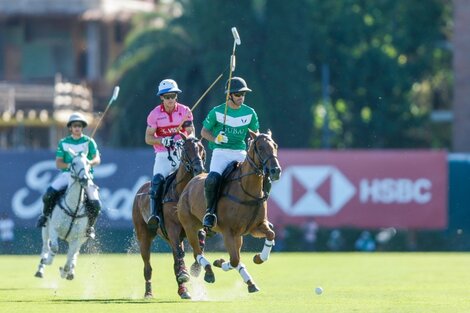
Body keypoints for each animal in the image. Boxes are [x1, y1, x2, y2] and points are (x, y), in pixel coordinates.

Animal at [35, 150, 92, 280]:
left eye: (88, 162)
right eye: (74, 163)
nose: (85, 179)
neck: (74, 208)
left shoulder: (77, 238)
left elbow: (70, 256)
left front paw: (65, 271)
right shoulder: (53, 229)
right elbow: (54, 248)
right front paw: (47, 261)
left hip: (83, 238)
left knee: (75, 253)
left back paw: (70, 272)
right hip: (45, 228)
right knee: (45, 247)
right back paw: (40, 269)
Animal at [132, 135, 206, 300]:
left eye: (202, 148)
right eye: (185, 149)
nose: (199, 169)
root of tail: (140, 190)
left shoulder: (195, 227)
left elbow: (200, 242)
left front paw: (196, 268)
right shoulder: (173, 229)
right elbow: (179, 253)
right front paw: (185, 273)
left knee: (175, 261)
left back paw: (183, 290)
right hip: (144, 235)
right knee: (148, 266)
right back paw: (148, 293)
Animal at [175, 129, 280, 292]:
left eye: (275, 145)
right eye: (260, 147)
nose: (276, 170)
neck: (247, 190)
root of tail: (191, 182)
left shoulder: (255, 226)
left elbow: (270, 234)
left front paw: (258, 258)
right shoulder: (228, 231)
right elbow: (235, 259)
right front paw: (219, 262)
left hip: (237, 235)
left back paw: (250, 282)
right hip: (189, 225)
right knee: (197, 253)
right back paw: (209, 271)